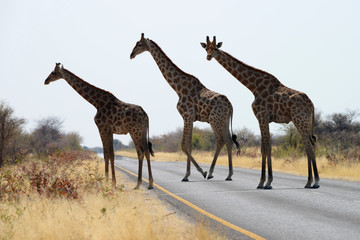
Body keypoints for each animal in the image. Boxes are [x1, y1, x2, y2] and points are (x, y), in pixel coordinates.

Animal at [129, 32, 239, 181]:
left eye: (140, 44)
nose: (131, 54)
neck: (178, 88)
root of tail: (230, 106)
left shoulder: (187, 116)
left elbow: (183, 145)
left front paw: (199, 172)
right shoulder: (190, 118)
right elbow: (189, 145)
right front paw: (187, 174)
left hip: (214, 120)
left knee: (220, 140)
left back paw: (210, 172)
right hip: (224, 120)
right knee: (228, 140)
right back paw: (229, 174)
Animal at [201, 36, 320, 189]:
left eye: (215, 48)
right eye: (206, 48)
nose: (209, 56)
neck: (254, 87)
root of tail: (311, 104)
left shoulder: (261, 116)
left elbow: (266, 147)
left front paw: (265, 182)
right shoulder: (264, 119)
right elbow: (264, 146)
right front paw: (264, 182)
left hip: (300, 120)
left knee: (309, 144)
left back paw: (315, 181)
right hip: (303, 121)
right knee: (309, 143)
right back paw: (309, 182)